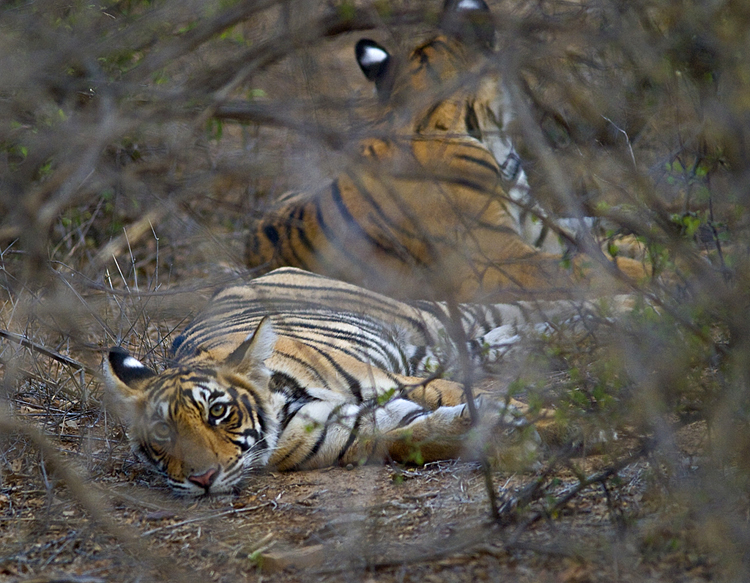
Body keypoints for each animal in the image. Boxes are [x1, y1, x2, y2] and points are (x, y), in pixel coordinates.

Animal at [104, 267, 625, 497]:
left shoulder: (399, 382)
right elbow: (417, 435)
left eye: (218, 411)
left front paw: (588, 427)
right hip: (442, 348)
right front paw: (503, 429)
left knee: (534, 309)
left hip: (430, 323)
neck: (286, 406)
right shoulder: (363, 428)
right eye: (162, 435)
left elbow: (465, 396)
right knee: (508, 337)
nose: (202, 480)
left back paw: (635, 308)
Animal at [245, 0, 649, 302]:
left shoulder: (538, 229)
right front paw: (650, 273)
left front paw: (643, 243)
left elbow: (596, 236)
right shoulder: (499, 261)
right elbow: (588, 268)